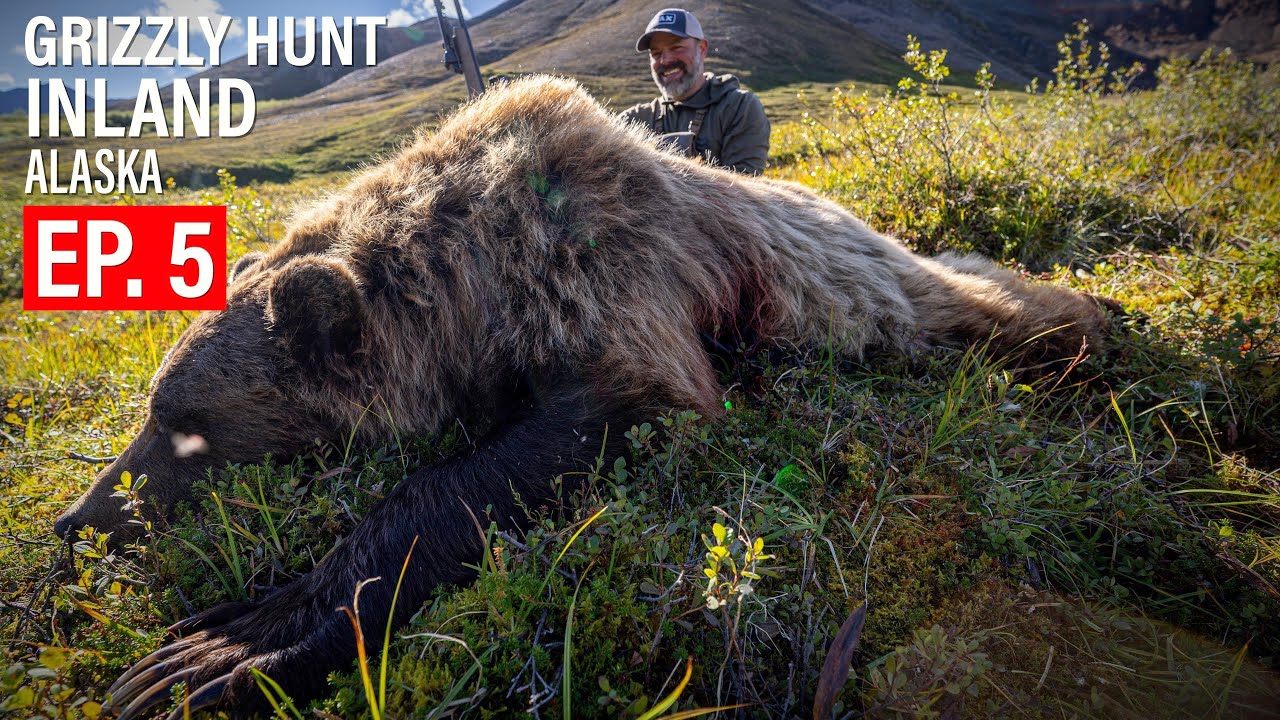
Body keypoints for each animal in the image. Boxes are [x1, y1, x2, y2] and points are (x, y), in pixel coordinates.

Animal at [56, 75, 1110, 718]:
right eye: (154, 410)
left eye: (182, 426)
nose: (74, 520)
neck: (472, 274)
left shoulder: (607, 276)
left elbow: (569, 430)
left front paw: (224, 649)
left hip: (884, 295)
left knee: (997, 311)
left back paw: (1096, 325)